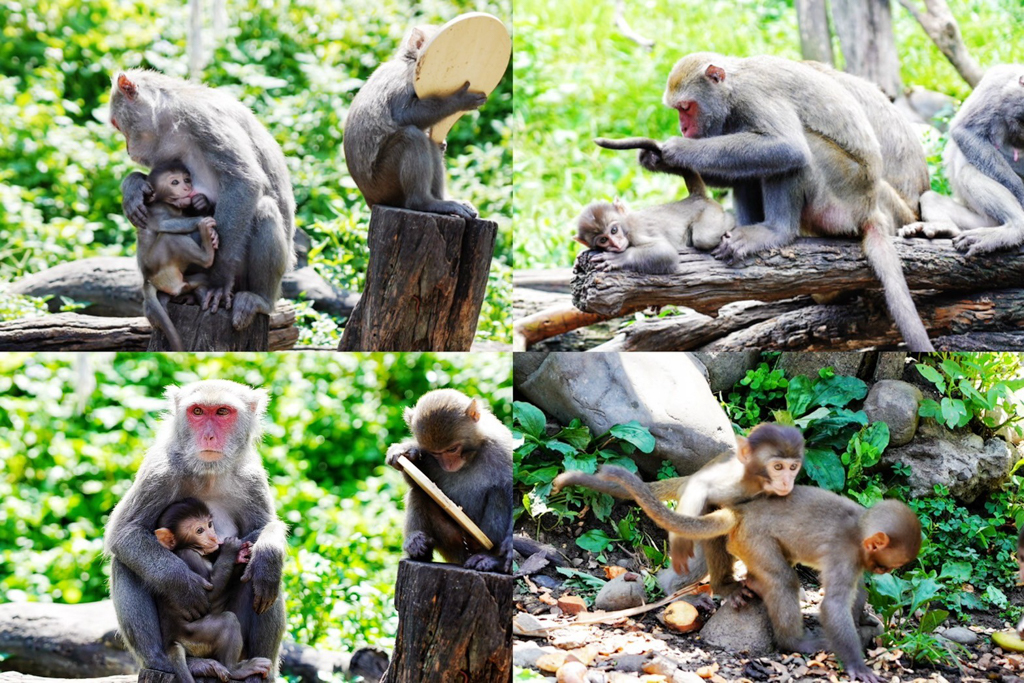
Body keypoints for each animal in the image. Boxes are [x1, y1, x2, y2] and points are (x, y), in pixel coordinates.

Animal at [344, 26, 487, 219]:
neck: (408, 60)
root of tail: (371, 200)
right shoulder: (404, 81)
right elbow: (403, 116)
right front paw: (458, 100)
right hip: (385, 183)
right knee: (411, 137)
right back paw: (424, 202)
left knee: (430, 145)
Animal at [385, 389, 512, 573]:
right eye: (436, 453)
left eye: (452, 449)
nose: (448, 465)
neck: (471, 455)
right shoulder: (428, 457)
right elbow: (418, 481)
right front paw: (404, 453)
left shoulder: (503, 450)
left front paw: (509, 547)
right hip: (454, 543)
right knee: (420, 492)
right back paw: (417, 544)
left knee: (499, 492)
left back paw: (493, 560)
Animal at [577, 466, 921, 679]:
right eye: (887, 565)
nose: (881, 570)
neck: (859, 529)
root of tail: (743, 512)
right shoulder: (846, 555)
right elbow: (834, 605)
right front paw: (856, 665)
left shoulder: (856, 560)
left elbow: (857, 592)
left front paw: (863, 620)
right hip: (753, 538)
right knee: (782, 579)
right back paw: (794, 641)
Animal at [622, 52, 937, 350]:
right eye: (678, 110)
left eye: (686, 108)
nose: (684, 129)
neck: (732, 90)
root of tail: (869, 210)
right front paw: (657, 160)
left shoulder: (754, 97)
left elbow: (786, 147)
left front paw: (677, 150)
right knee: (750, 168)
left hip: (844, 194)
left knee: (798, 152)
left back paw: (776, 231)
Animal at [901, 64, 1024, 255]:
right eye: (1022, 122)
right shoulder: (995, 85)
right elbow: (965, 131)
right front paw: (1020, 191)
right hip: (982, 220)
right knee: (940, 190)